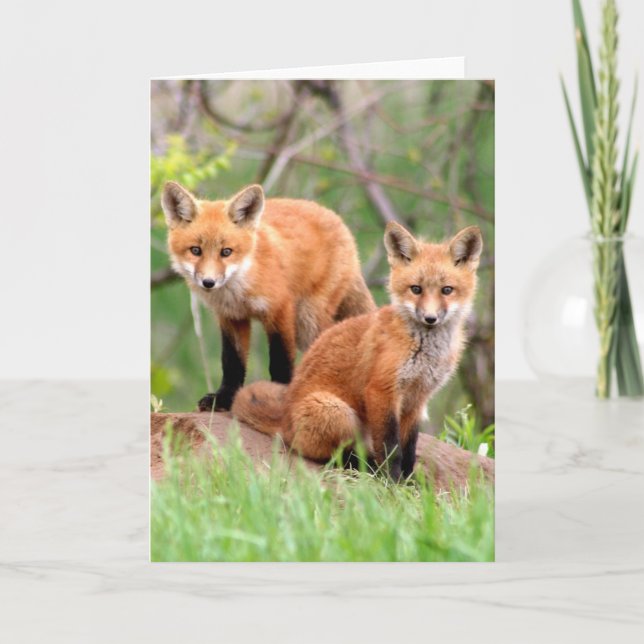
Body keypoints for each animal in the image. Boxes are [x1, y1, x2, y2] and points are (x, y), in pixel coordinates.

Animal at [161, 181, 375, 411]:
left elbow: (280, 361)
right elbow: (232, 363)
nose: (208, 282)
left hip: (307, 321)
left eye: (226, 252)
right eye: (195, 250)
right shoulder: (231, 317)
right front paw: (224, 398)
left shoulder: (280, 309)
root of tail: (339, 221)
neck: (239, 290)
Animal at [231, 222, 483, 479]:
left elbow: (409, 448)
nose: (430, 318)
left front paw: (408, 480)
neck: (424, 350)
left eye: (447, 290)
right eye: (416, 289)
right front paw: (393, 481)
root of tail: (284, 421)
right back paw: (365, 466)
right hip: (338, 412)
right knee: (329, 455)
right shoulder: (382, 390)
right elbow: (391, 448)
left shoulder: (417, 399)